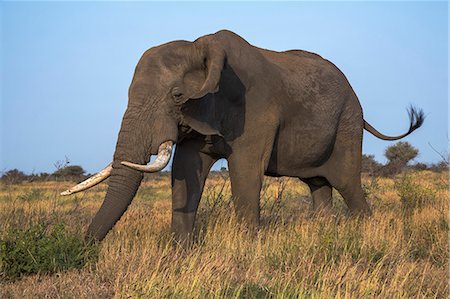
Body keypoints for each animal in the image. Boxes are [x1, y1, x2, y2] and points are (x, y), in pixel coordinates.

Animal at [61, 29, 424, 244]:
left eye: (177, 96)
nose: (84, 248)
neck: (203, 48)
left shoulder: (257, 109)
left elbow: (245, 172)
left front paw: (248, 249)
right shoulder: (202, 115)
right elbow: (185, 172)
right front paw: (180, 252)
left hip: (347, 124)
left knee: (349, 184)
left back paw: (367, 232)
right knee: (319, 186)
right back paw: (322, 232)